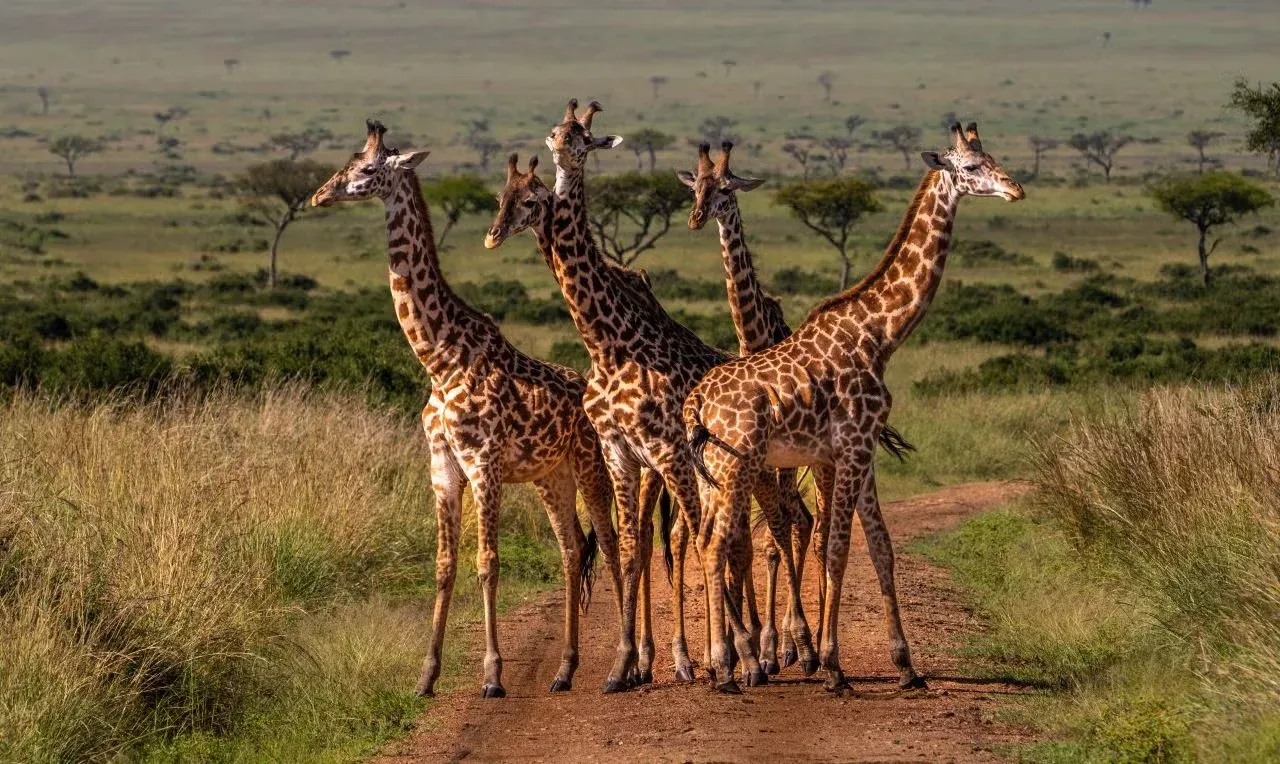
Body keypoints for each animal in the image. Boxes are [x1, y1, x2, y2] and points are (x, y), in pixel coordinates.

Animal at [310, 120, 623, 699]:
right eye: (348, 162)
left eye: (368, 168)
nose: (321, 195)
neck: (440, 357)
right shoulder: (442, 464)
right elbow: (444, 565)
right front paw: (425, 676)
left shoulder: (484, 463)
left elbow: (487, 563)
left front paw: (493, 675)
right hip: (552, 477)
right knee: (572, 552)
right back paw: (565, 670)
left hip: (593, 466)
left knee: (612, 545)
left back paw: (629, 664)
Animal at [683, 122, 1024, 692]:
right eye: (973, 167)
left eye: (995, 156)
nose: (1015, 189)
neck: (879, 334)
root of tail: (696, 402)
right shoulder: (851, 448)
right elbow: (839, 550)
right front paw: (832, 666)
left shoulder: (859, 454)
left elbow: (881, 547)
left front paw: (907, 666)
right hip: (739, 466)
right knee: (719, 545)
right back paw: (731, 667)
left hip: (714, 470)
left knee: (708, 539)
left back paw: (723, 663)